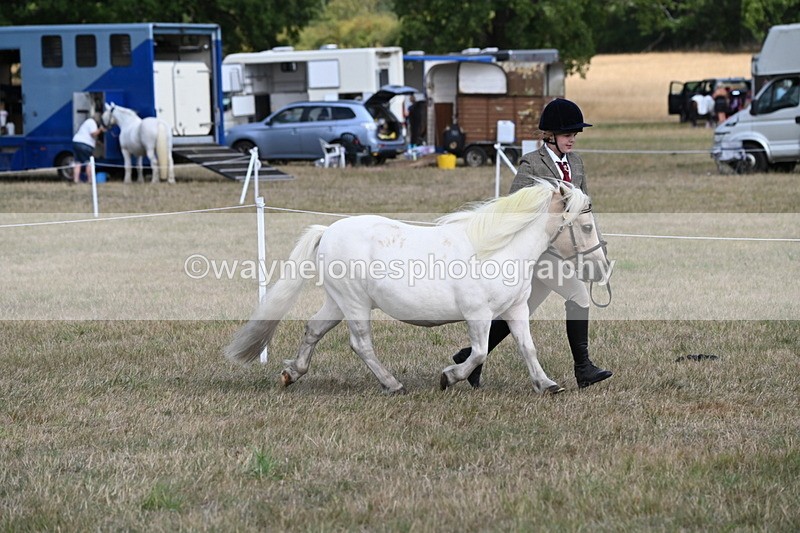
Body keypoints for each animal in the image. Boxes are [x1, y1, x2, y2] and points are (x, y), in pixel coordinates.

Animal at [225, 180, 610, 394]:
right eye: (586, 226)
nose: (601, 268)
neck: (499, 249)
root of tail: (328, 231)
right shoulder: (478, 315)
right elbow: (479, 352)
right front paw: (449, 377)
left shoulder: (514, 310)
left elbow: (527, 348)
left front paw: (547, 385)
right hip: (354, 303)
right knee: (360, 344)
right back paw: (392, 384)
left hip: (339, 302)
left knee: (314, 329)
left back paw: (292, 373)